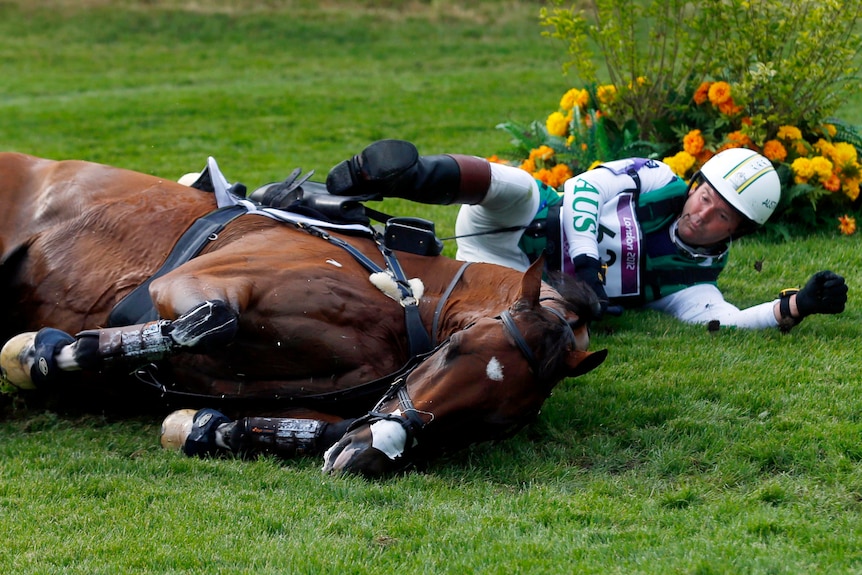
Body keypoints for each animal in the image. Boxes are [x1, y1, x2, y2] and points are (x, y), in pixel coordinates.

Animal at [0, 152, 608, 476]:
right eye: (457, 350)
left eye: (495, 423)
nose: (360, 462)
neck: (407, 303)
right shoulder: (196, 285)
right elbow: (209, 322)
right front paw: (39, 353)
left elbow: (317, 426)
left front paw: (203, 427)